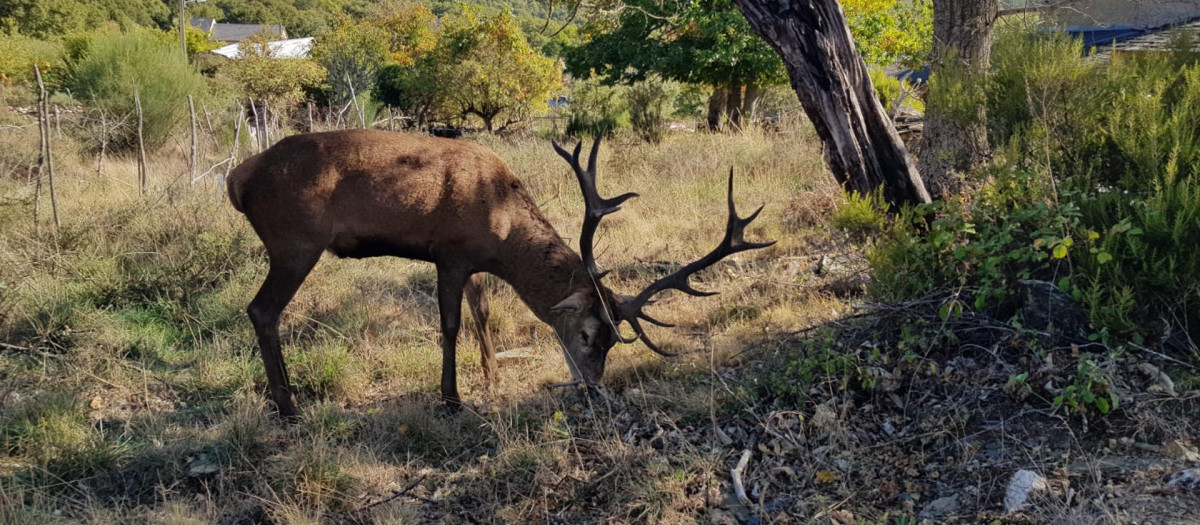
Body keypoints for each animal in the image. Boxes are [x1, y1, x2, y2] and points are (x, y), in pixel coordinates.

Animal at [226, 130, 768, 419]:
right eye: (588, 334)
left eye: (614, 342)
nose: (594, 389)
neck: (501, 225)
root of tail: (235, 179)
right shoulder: (448, 253)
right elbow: (450, 325)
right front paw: (452, 398)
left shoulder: (476, 264)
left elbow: (482, 313)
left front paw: (490, 377)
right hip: (295, 242)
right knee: (260, 310)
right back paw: (288, 406)